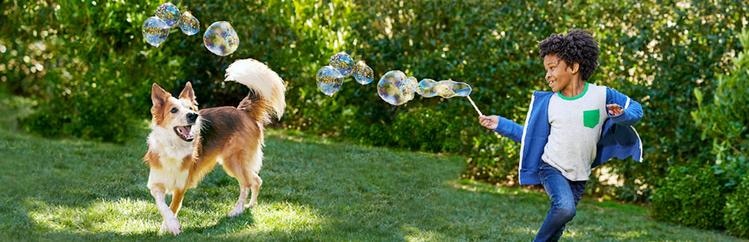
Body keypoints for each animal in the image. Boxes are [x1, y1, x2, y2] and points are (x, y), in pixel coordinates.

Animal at [145, 58, 284, 234]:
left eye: (191, 109)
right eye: (174, 110)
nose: (193, 116)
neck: (174, 147)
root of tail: (243, 111)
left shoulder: (181, 186)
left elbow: (172, 207)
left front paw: (169, 228)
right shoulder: (155, 185)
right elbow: (162, 206)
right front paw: (169, 225)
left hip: (234, 161)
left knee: (246, 184)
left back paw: (237, 211)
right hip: (237, 163)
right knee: (256, 180)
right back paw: (250, 205)